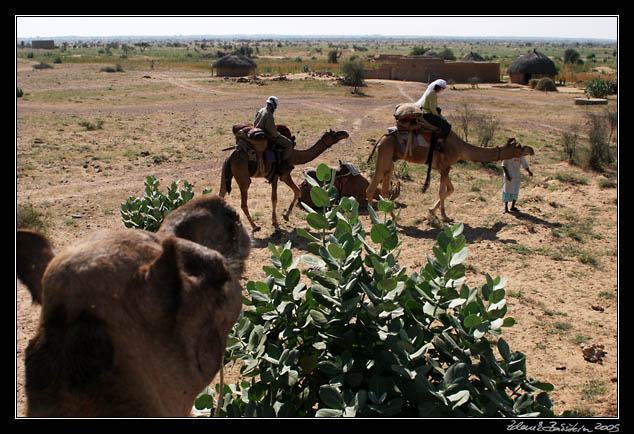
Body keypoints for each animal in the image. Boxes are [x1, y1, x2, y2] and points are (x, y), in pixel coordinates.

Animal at [218, 128, 348, 232]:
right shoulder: (281, 175)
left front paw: (285, 216)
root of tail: (230, 157)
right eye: (335, 133)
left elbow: (297, 191)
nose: (345, 133)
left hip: (226, 173)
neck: (293, 156)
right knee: (243, 203)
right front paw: (276, 222)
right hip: (242, 176)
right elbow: (275, 198)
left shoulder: (282, 176)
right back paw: (255, 226)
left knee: (221, 194)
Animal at [366, 131, 532, 220]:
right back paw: (374, 219)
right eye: (519, 147)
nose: (531, 150)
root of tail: (381, 139)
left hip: (391, 159)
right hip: (385, 154)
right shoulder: (446, 166)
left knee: (385, 187)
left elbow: (451, 189)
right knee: (371, 187)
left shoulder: (442, 167)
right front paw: (444, 216)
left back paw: (394, 218)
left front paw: (432, 211)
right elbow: (442, 191)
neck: (461, 147)